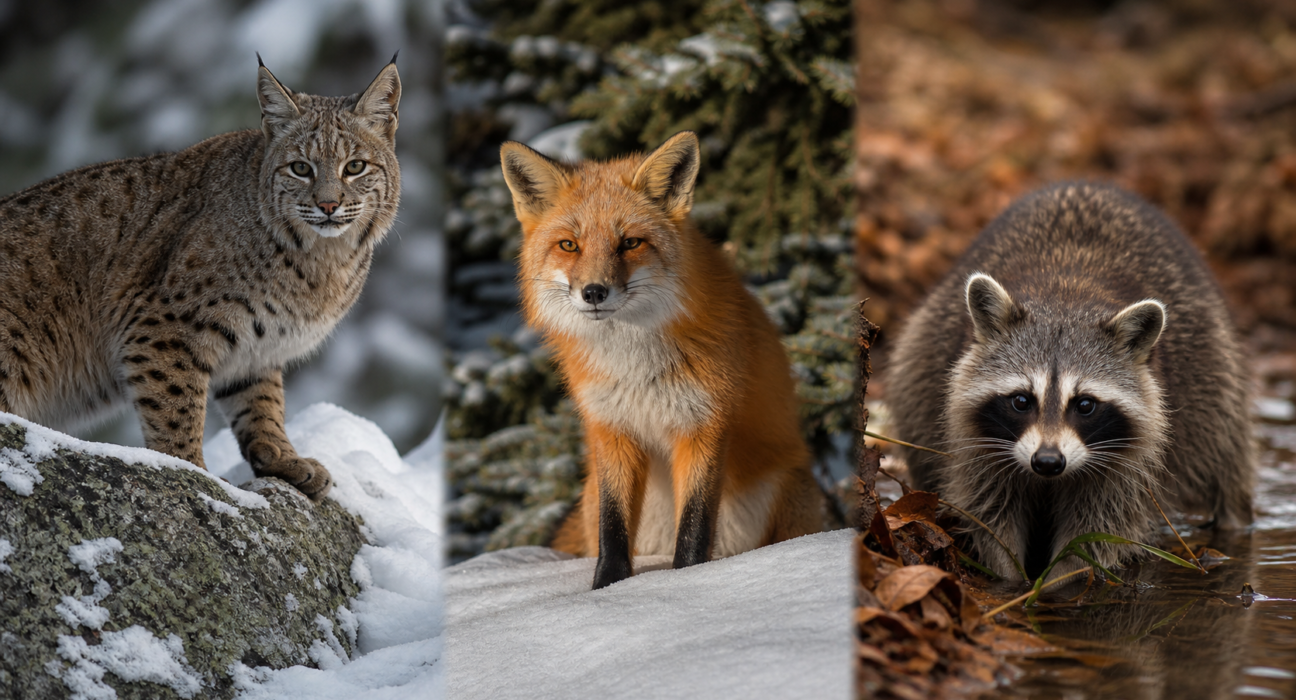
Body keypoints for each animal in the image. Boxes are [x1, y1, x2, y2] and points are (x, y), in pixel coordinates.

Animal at [499, 131, 824, 590]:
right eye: (569, 245)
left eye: (630, 242)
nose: (594, 292)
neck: (634, 366)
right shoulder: (612, 429)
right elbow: (613, 527)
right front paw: (606, 589)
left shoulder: (703, 425)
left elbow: (694, 525)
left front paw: (683, 583)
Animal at [883, 182, 1254, 580]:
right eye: (1021, 400)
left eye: (1085, 404)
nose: (1047, 461)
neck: (1066, 298)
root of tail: (1087, 184)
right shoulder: (976, 440)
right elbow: (990, 509)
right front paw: (1010, 578)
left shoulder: (1131, 458)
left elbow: (1099, 527)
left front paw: (1061, 580)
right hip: (924, 351)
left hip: (1216, 369)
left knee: (1227, 455)